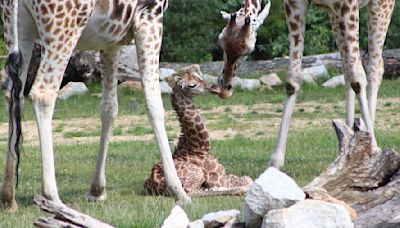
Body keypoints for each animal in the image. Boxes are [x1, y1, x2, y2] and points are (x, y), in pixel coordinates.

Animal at [0, 0, 191, 212]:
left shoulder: (111, 40)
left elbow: (109, 107)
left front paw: (97, 190)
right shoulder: (150, 17)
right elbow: (154, 104)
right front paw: (178, 191)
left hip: (17, 26)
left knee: (13, 94)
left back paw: (8, 197)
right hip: (62, 28)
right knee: (43, 94)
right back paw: (52, 197)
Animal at [145, 67, 253, 196]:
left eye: (199, 77)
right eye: (192, 85)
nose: (215, 87)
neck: (199, 147)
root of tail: (154, 185)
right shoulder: (219, 178)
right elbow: (248, 178)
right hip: (197, 174)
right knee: (190, 191)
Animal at [220, 0, 396, 169]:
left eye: (247, 49)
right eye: (221, 42)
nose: (225, 88)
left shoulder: (349, 6)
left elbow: (358, 77)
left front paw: (374, 150)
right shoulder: (295, 5)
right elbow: (293, 79)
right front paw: (275, 162)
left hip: (380, 5)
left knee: (374, 66)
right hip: (334, 15)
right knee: (347, 68)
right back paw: (347, 141)